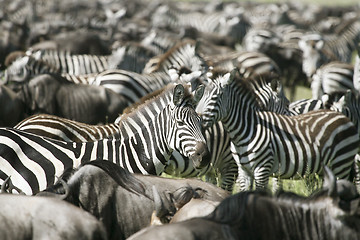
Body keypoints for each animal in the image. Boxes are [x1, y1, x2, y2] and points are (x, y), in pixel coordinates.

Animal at [197, 70, 360, 191]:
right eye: (202, 95)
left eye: (216, 97)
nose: (197, 116)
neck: (245, 130)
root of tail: (343, 117)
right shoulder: (244, 171)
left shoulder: (261, 170)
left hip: (341, 163)